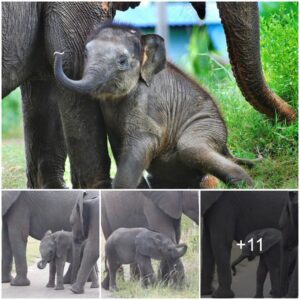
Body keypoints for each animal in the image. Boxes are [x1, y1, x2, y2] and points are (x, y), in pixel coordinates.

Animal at [53, 23, 255, 189]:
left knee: (191, 148)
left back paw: (246, 184)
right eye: (86, 54)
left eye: (122, 61)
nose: (58, 54)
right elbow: (119, 144)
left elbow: (143, 140)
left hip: (209, 126)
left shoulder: (146, 101)